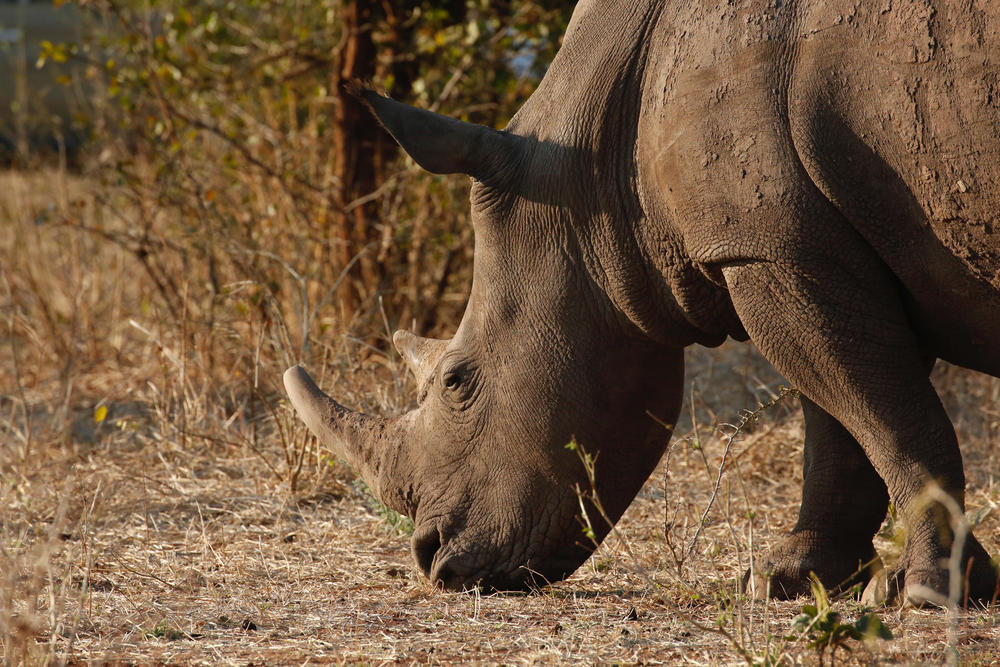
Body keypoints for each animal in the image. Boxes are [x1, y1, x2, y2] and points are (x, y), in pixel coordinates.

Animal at [284, 0, 1000, 604]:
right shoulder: (802, 244)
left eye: (460, 381)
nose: (432, 560)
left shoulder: (767, 246)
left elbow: (887, 420)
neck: (595, 178)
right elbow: (846, 422)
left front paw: (927, 593)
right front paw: (787, 580)